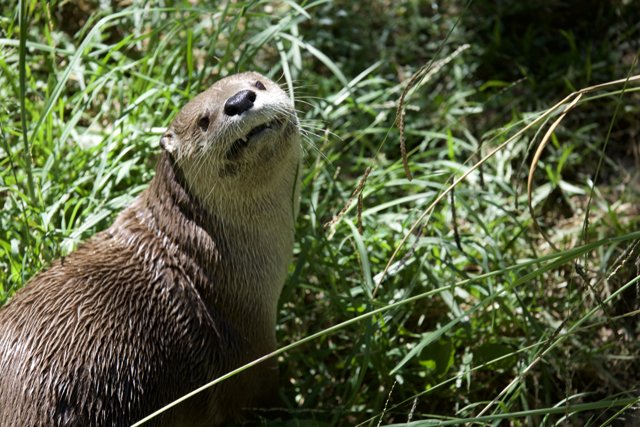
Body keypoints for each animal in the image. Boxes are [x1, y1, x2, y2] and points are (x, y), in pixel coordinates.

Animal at [0, 72, 302, 426]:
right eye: (204, 121)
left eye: (258, 84)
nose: (239, 100)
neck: (204, 259)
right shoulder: (253, 350)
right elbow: (262, 393)